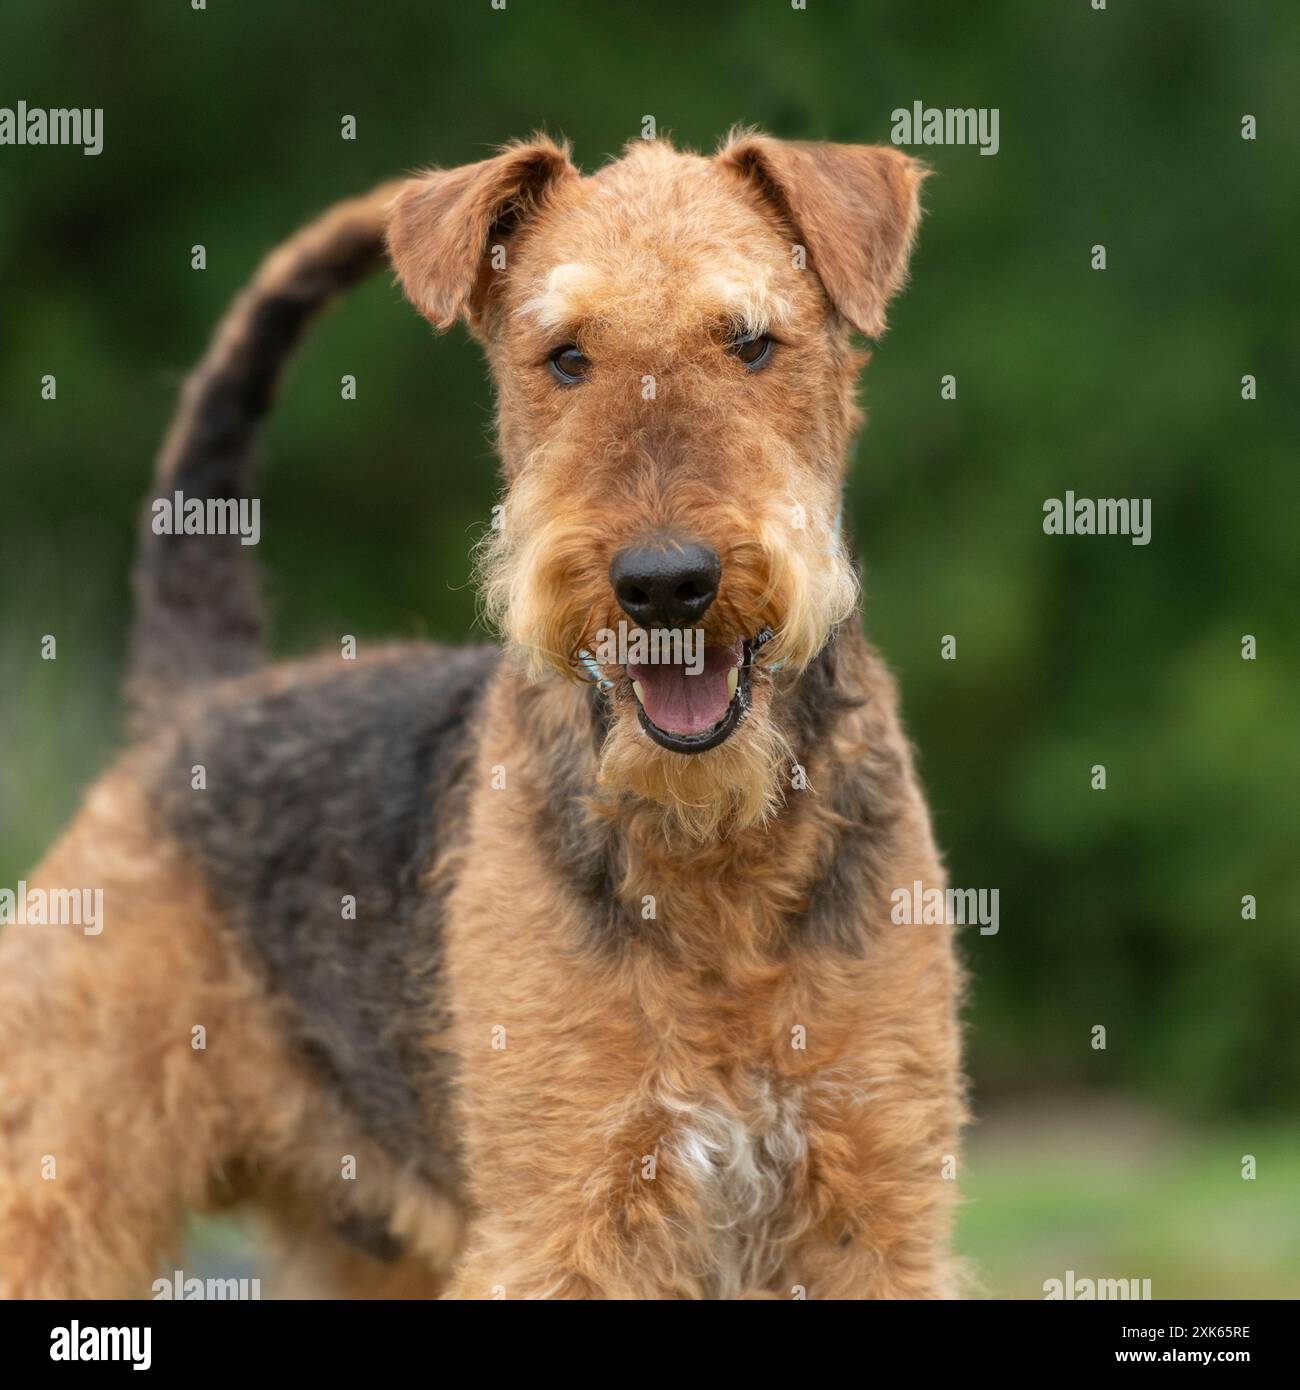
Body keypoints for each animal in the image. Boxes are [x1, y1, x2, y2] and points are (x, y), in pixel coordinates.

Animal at [0, 132, 967, 1301]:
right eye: (565, 356)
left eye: (750, 342)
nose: (664, 582)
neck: (709, 852)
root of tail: (194, 699)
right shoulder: (565, 1214)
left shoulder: (874, 1210)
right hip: (65, 1162)